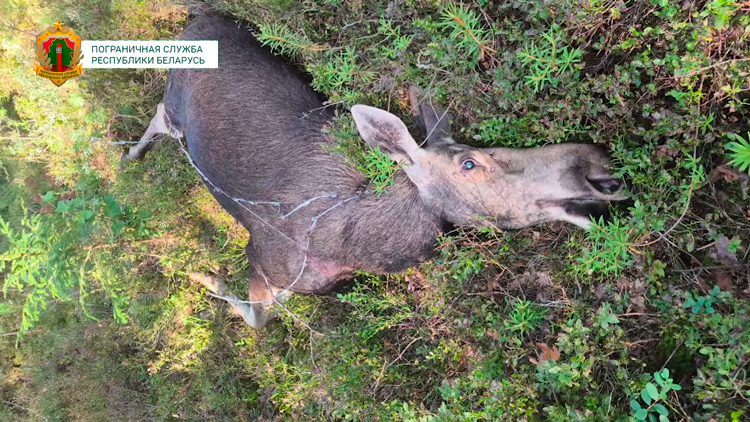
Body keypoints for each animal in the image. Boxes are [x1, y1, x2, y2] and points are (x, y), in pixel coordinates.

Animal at [125, 14, 628, 328]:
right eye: (469, 163)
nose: (595, 164)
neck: (358, 246)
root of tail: (196, 18)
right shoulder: (263, 258)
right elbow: (256, 317)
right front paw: (202, 277)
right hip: (176, 105)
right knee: (159, 112)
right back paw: (130, 155)